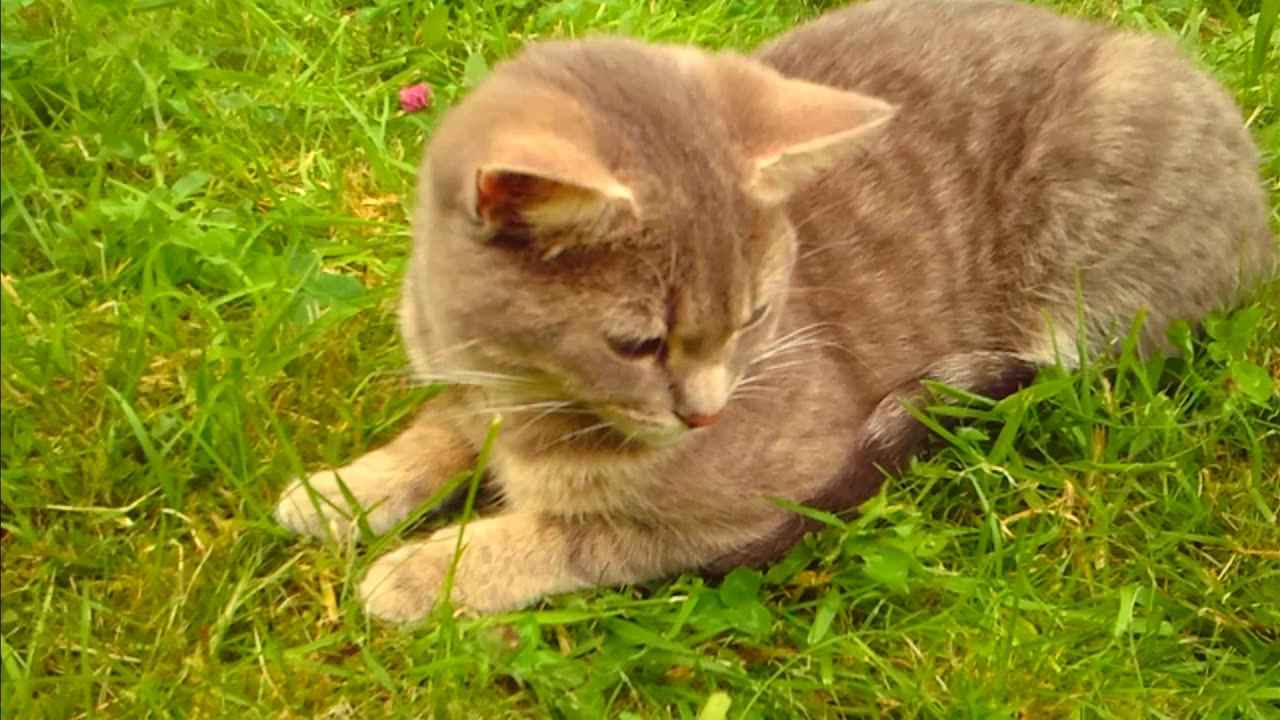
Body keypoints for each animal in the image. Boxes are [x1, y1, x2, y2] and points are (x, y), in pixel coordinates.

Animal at [275, 0, 1274, 622]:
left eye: (756, 316)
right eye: (637, 343)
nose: (708, 412)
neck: (531, 397)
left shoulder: (770, 490)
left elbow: (582, 535)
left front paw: (426, 569)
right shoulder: (465, 378)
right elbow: (443, 427)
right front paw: (351, 489)